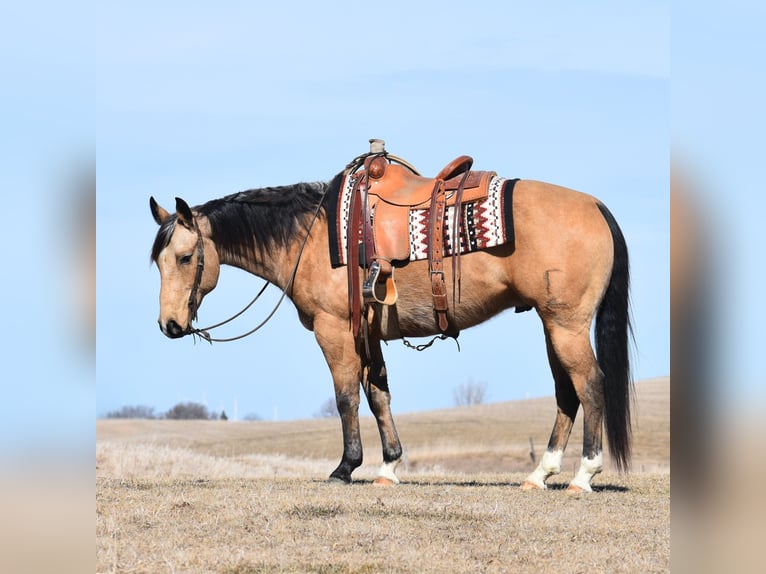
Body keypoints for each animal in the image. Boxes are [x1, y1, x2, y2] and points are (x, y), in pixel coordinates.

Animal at [149, 153, 632, 493]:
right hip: (553, 326)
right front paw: (389, 465)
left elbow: (346, 397)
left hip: (566, 326)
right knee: (566, 393)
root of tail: (595, 206)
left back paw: (583, 475)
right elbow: (379, 396)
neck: (311, 235)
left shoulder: (333, 330)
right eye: (158, 261)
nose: (169, 324)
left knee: (590, 385)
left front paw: (345, 468)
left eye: (186, 257)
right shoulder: (368, 335)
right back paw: (539, 473)